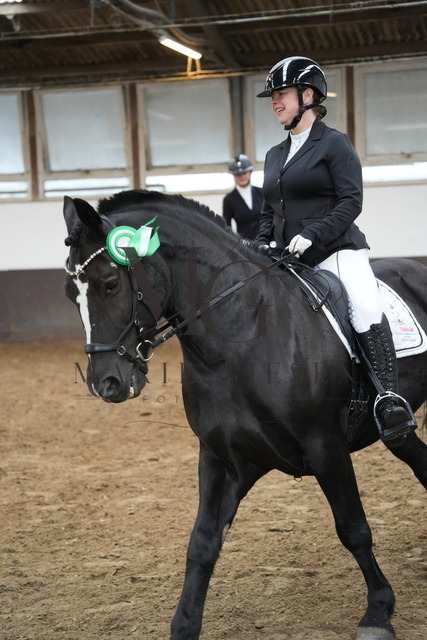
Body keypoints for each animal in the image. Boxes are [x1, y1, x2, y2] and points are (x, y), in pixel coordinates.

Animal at [63, 189, 427, 640]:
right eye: (69, 293)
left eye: (110, 285)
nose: (106, 383)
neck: (241, 338)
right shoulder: (223, 459)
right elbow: (201, 544)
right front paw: (184, 625)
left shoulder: (326, 447)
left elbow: (353, 528)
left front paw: (378, 611)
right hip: (396, 428)